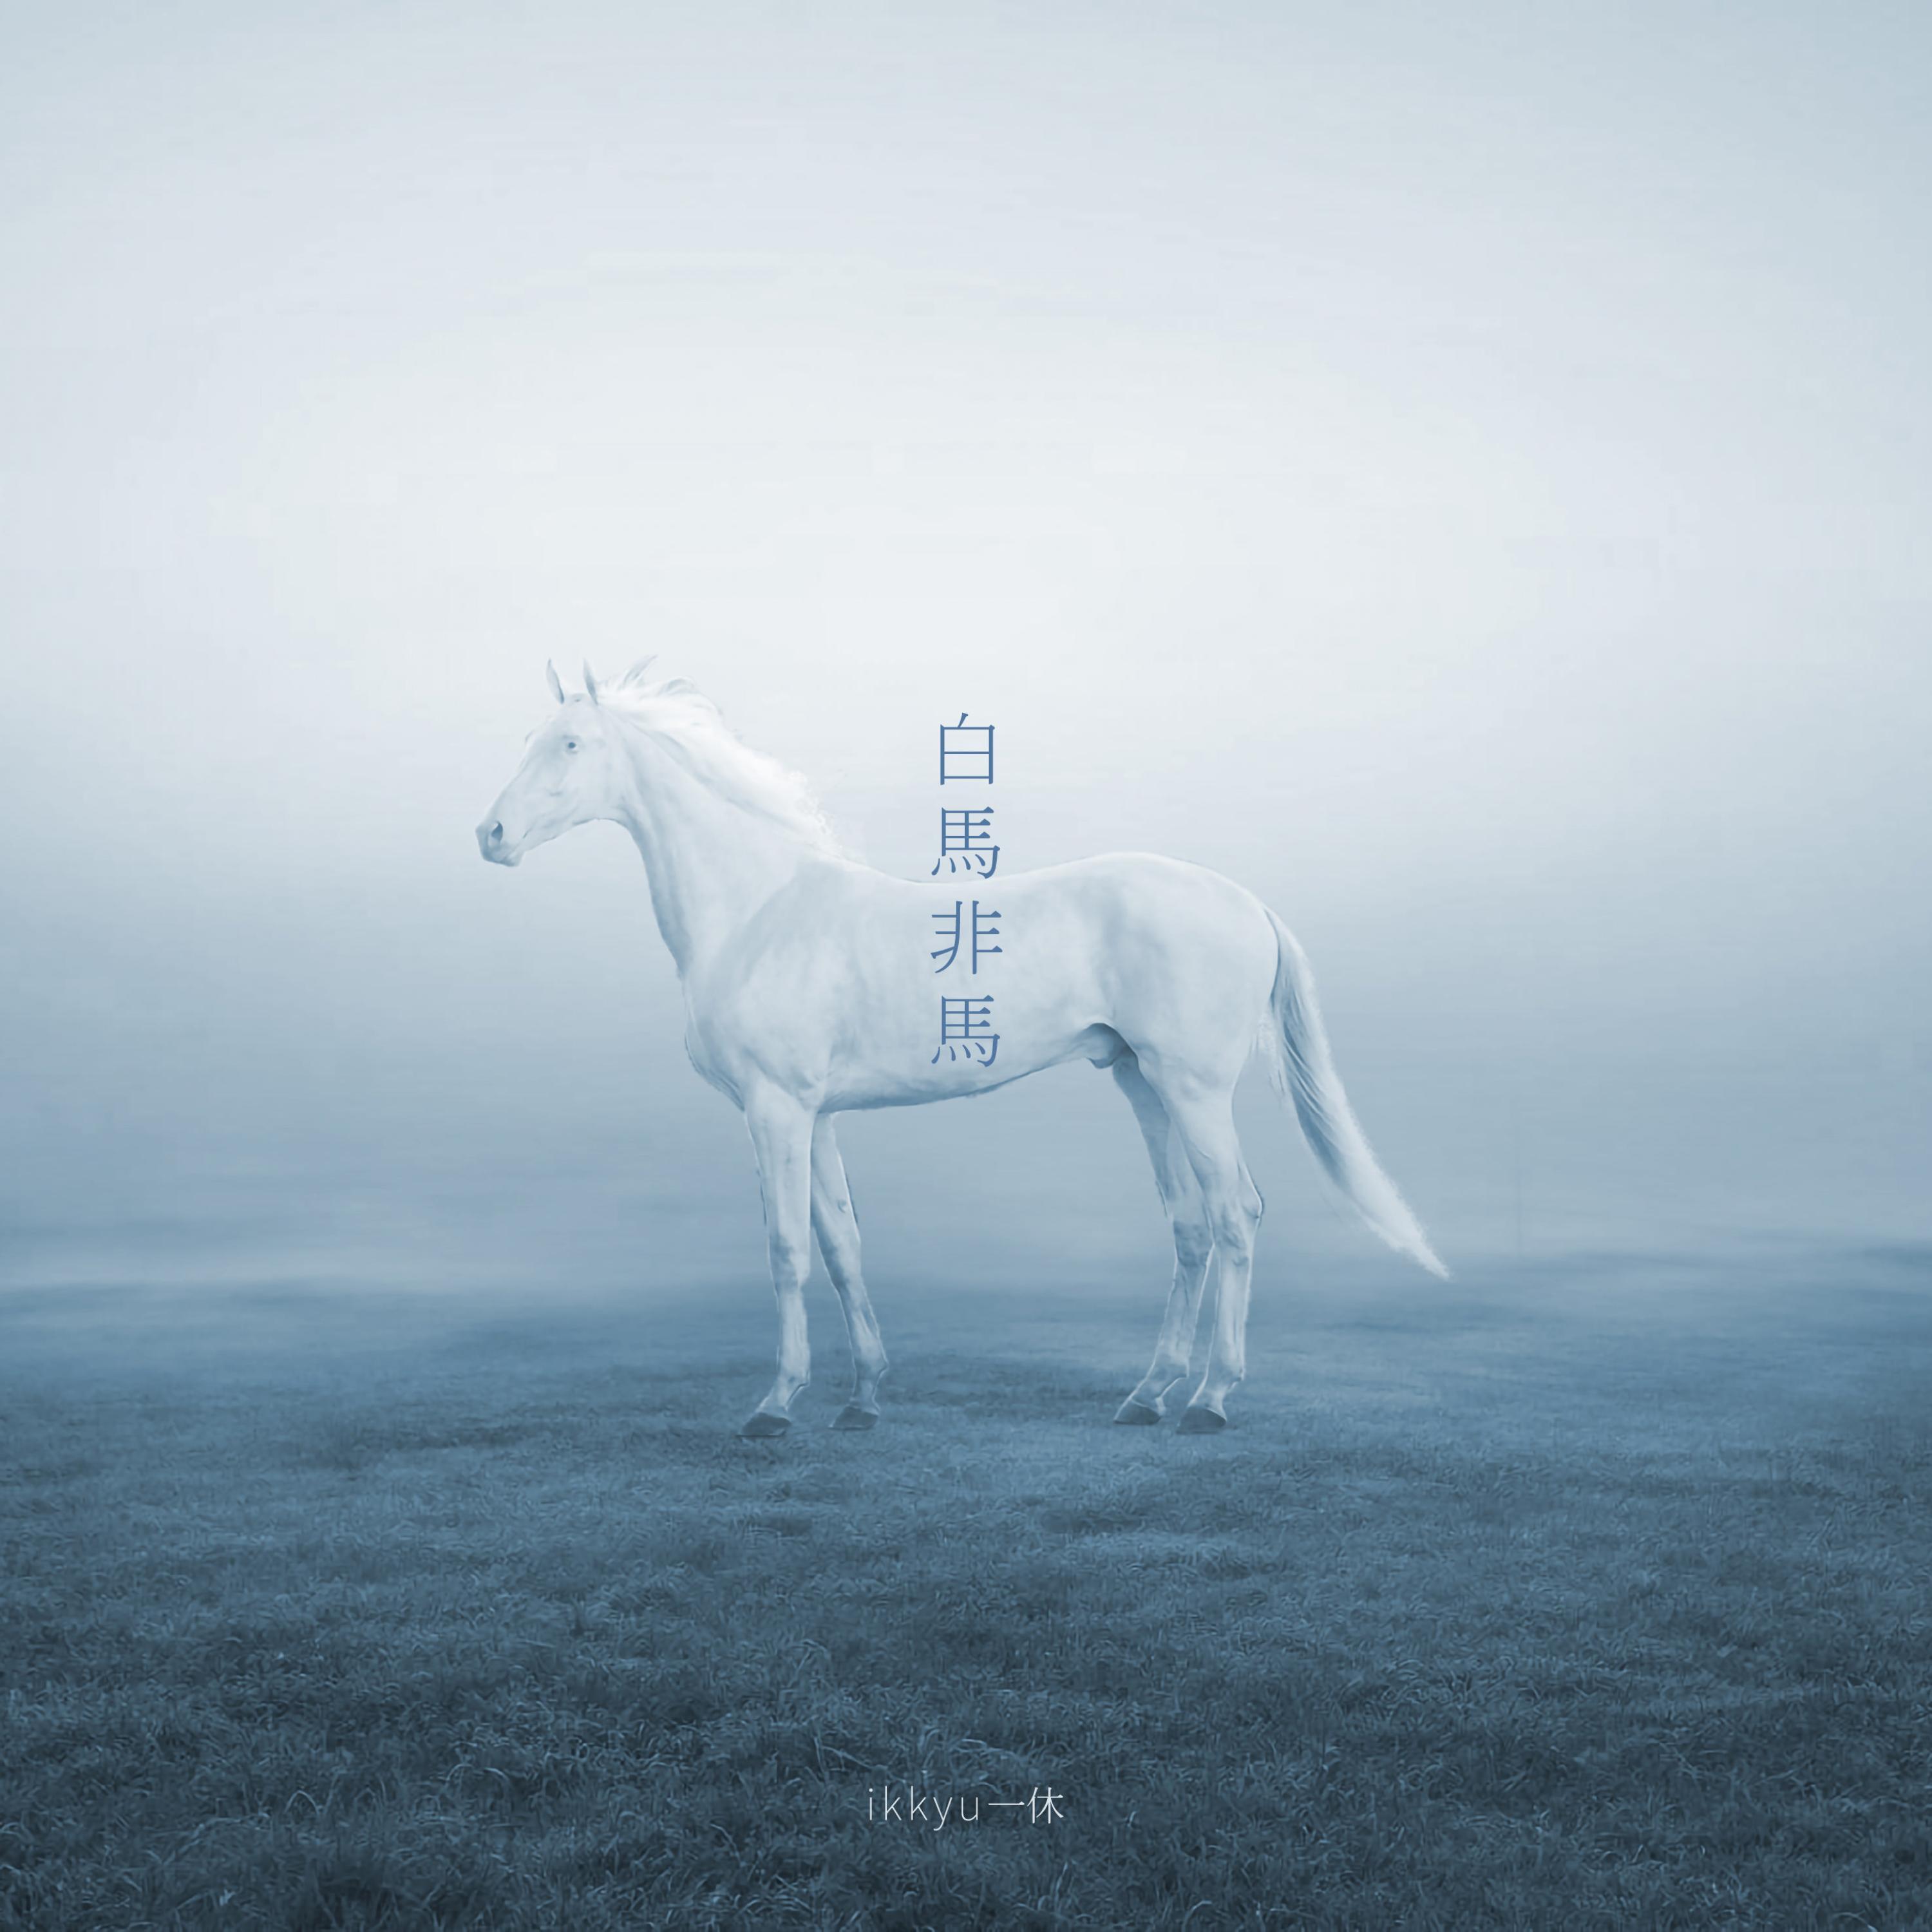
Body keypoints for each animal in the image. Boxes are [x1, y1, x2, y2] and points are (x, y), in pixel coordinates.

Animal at [476, 660, 1445, 1437]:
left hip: (1194, 1088)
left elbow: (787, 1248)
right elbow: (841, 1245)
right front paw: (864, 1399)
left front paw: (775, 1406)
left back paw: (1209, 1400)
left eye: (569, 744)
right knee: (1191, 1226)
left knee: (1236, 1216)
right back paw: (1148, 1395)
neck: (759, 911)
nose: (491, 835)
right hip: (1143, 1083)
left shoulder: (775, 1109)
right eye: (531, 739)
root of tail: (1247, 902)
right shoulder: (816, 1117)